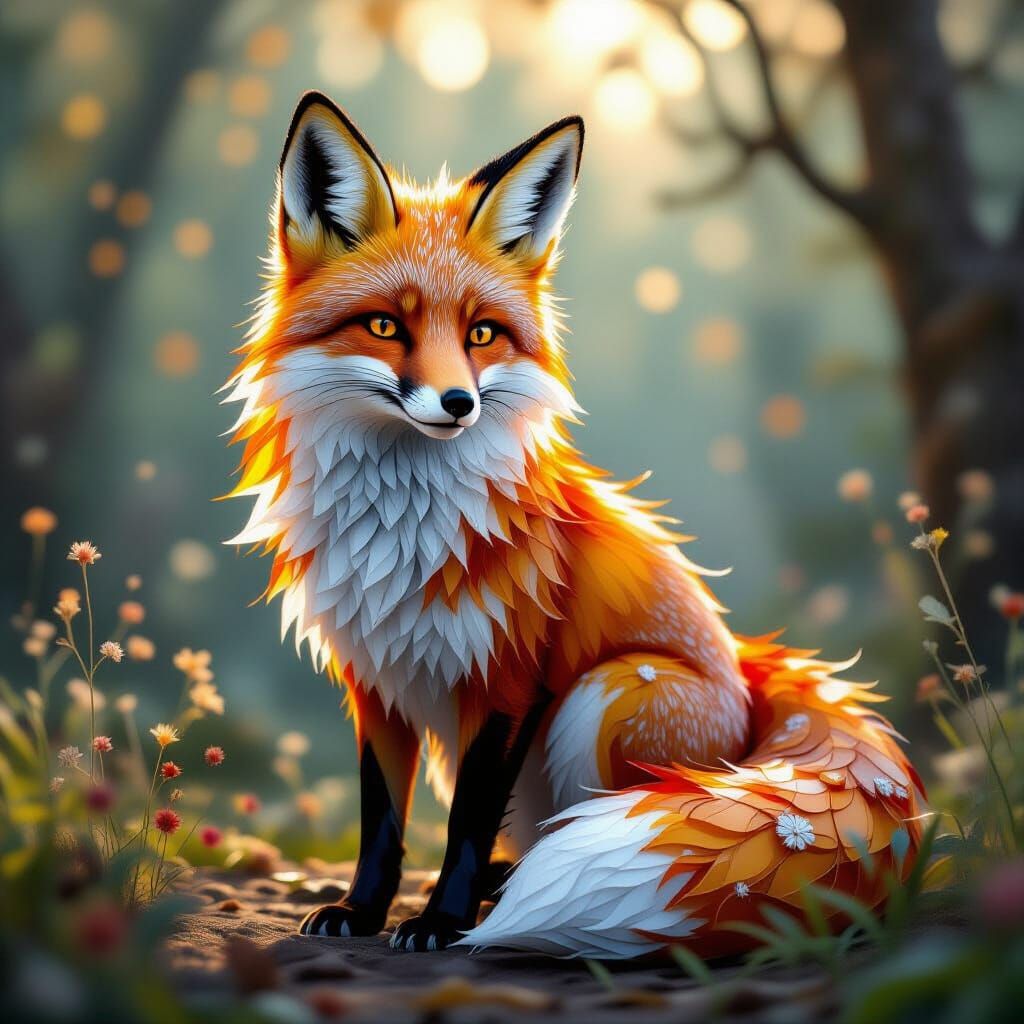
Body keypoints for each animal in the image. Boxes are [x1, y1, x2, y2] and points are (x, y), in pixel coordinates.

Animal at [224, 91, 925, 958]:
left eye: (482, 334)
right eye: (385, 326)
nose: (459, 403)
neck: (400, 531)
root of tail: (749, 669)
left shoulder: (509, 679)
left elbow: (464, 823)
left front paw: (442, 921)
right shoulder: (376, 681)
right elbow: (381, 819)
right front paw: (361, 910)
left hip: (609, 694)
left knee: (572, 825)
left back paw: (514, 901)